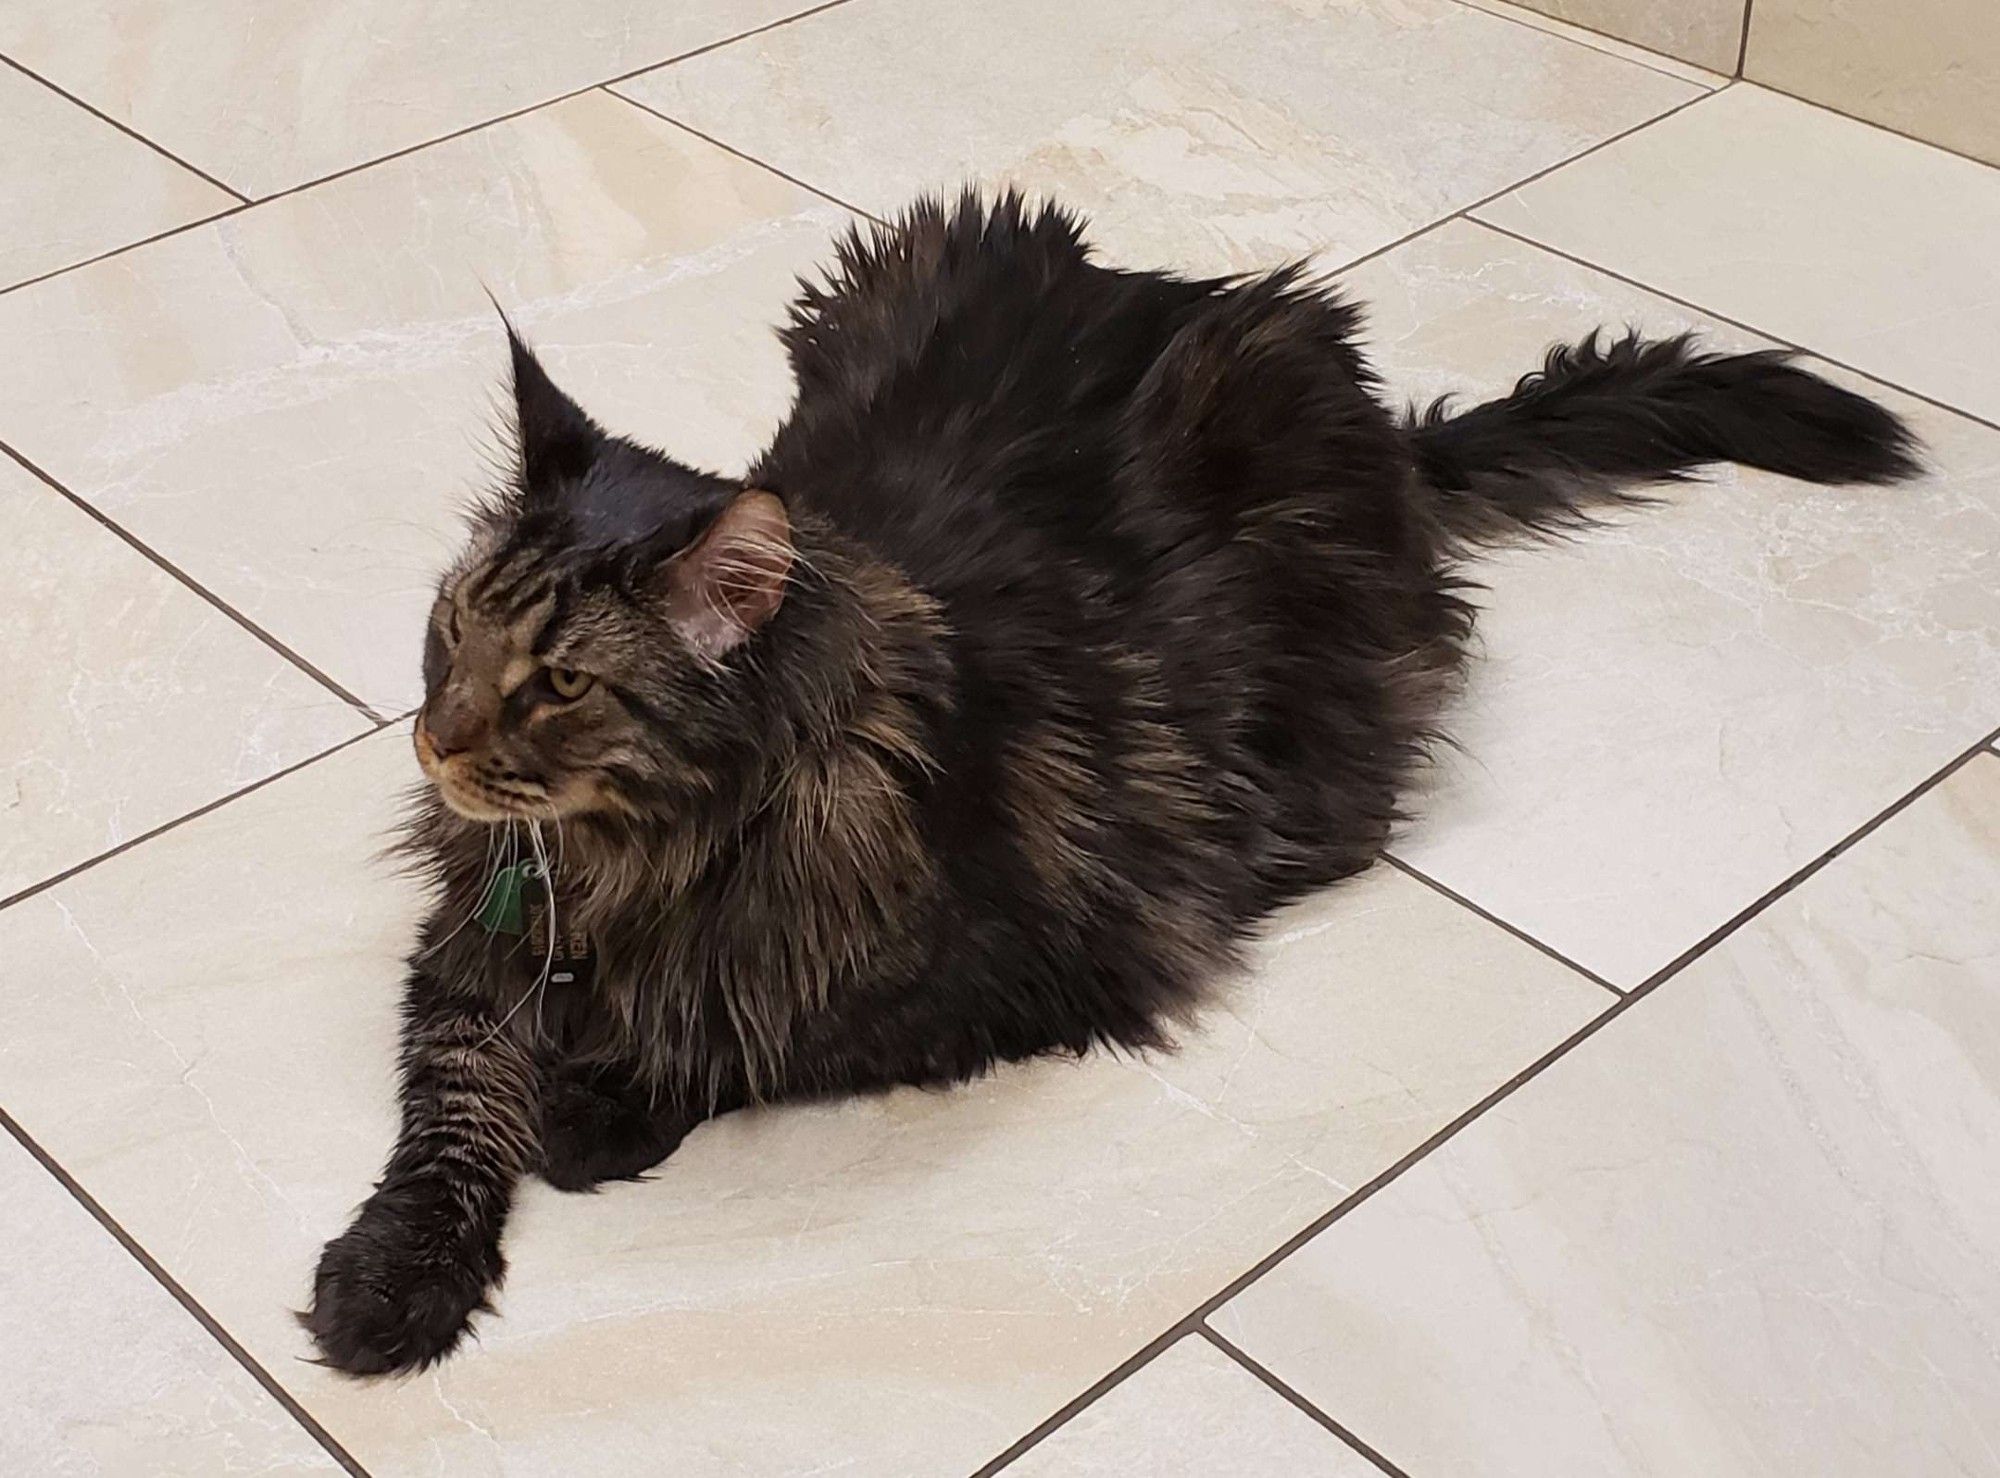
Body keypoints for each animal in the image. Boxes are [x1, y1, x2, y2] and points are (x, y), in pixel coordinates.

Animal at [300, 188, 1920, 1376]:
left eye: (559, 681)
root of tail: (1206, 298)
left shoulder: (1027, 963)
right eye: (451, 628)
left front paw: (599, 1104)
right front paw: (386, 1281)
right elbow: (450, 1109)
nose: (432, 740)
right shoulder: (468, 946)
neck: (632, 856)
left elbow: (765, 1027)